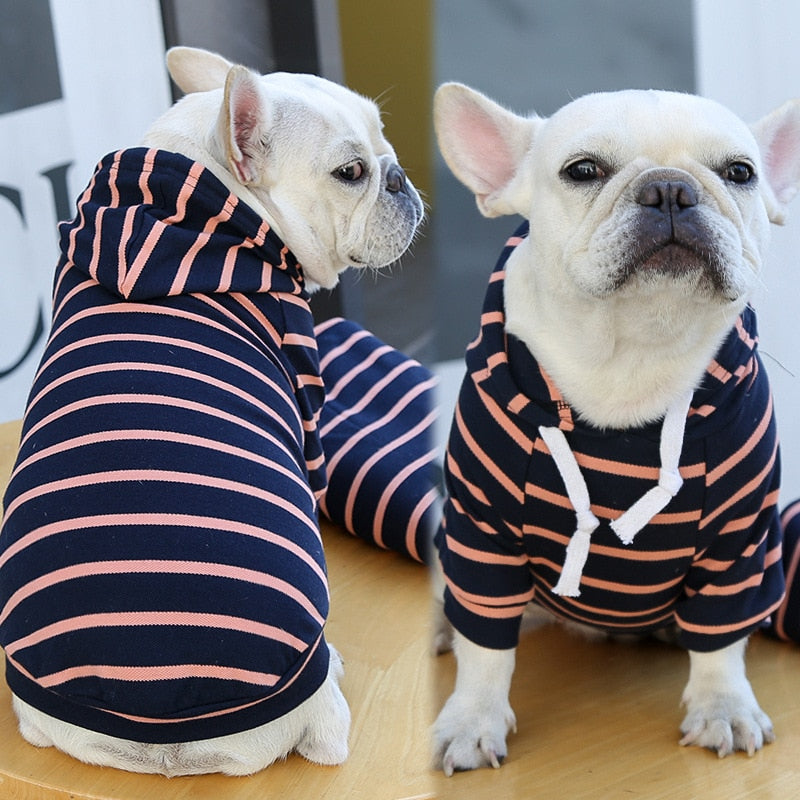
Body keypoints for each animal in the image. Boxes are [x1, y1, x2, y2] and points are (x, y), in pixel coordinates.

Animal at [432, 86, 800, 776]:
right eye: (583, 170)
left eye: (740, 172)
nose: (670, 189)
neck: (632, 354)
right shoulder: (481, 533)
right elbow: (486, 647)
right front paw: (472, 719)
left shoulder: (738, 544)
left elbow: (721, 640)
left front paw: (723, 706)